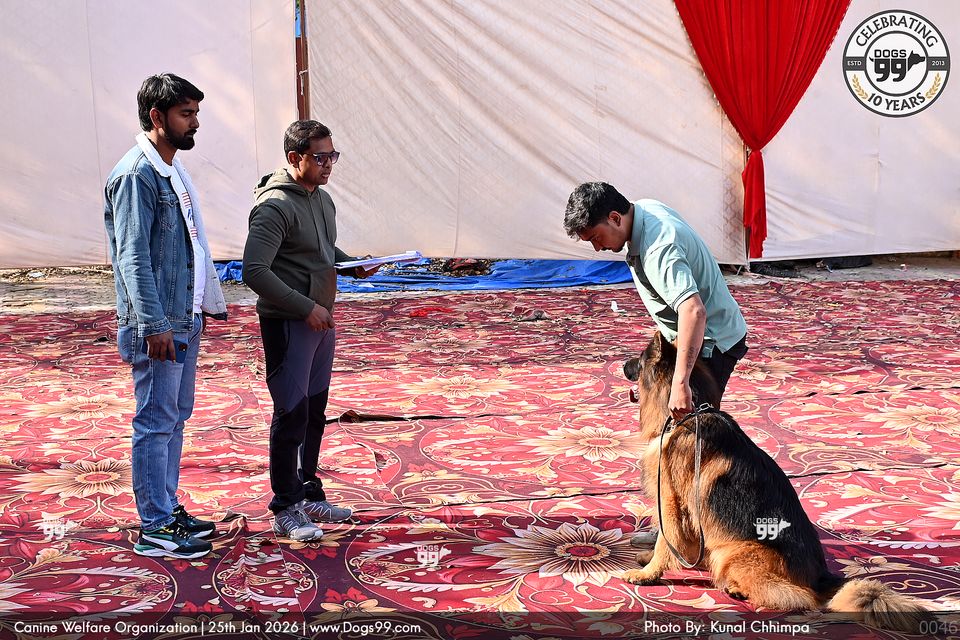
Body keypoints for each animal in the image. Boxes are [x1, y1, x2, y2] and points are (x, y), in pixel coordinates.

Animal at [620, 332, 931, 633]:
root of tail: (821, 577)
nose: (621, 366)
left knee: (799, 597)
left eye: (639, 360)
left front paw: (648, 574)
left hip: (735, 552)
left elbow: (666, 540)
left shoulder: (671, 500)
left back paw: (739, 588)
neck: (690, 414)